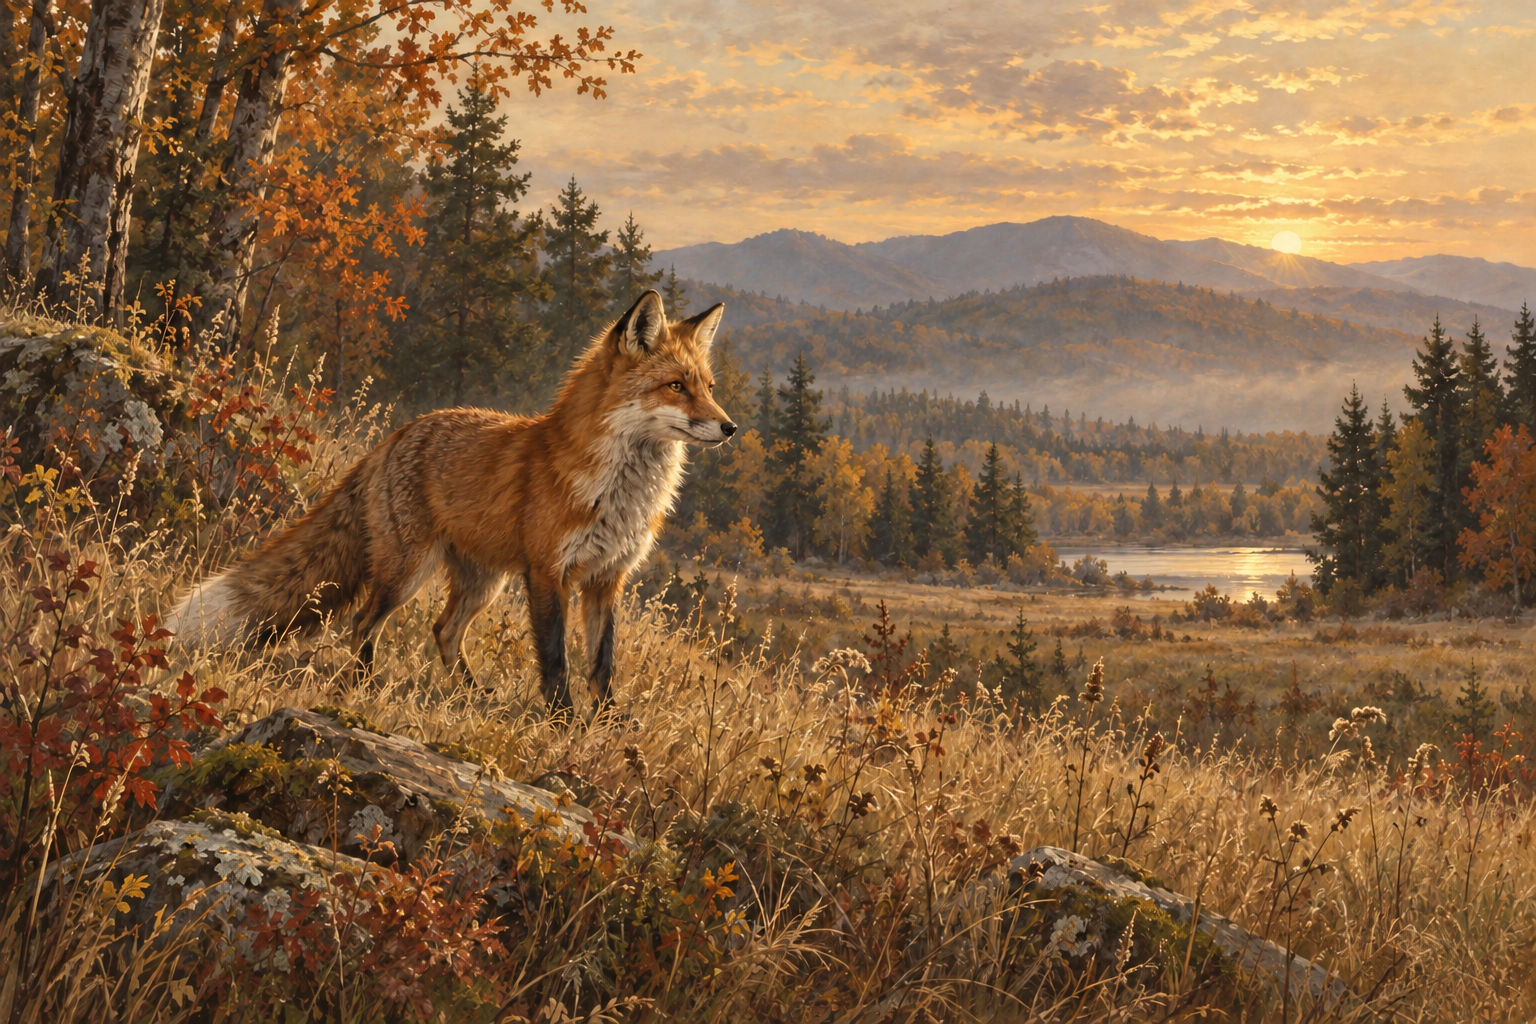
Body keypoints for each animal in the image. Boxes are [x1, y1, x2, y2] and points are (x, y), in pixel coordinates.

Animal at [169, 289, 736, 711]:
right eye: (676, 386)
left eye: (708, 387)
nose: (730, 428)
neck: (617, 494)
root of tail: (396, 437)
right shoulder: (548, 573)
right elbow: (556, 662)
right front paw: (563, 722)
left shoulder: (605, 578)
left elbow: (603, 663)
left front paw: (607, 724)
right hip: (407, 572)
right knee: (364, 623)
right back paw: (364, 687)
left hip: (483, 581)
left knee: (443, 631)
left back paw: (470, 693)